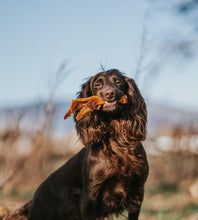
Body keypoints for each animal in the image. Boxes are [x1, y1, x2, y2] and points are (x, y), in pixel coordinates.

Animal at [3, 69, 148, 220]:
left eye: (118, 82)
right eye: (97, 85)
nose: (110, 93)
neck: (117, 142)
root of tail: (32, 200)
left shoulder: (137, 192)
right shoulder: (89, 196)